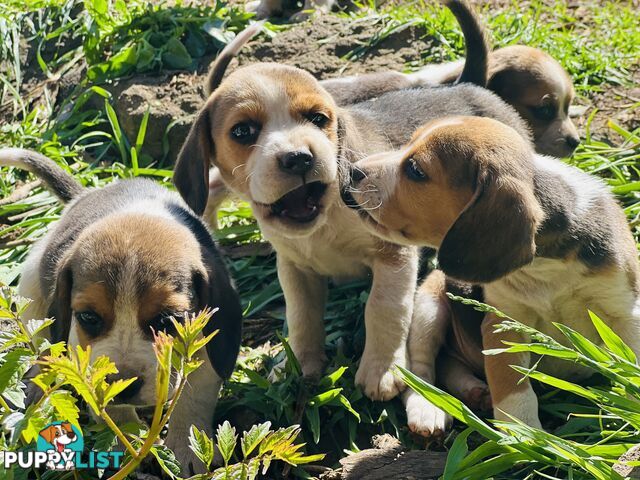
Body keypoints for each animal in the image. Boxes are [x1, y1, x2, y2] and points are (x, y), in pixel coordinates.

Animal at [1, 148, 242, 474]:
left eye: (167, 320)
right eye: (89, 317)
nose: (122, 383)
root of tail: (84, 195)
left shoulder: (202, 343)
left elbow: (193, 397)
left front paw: (187, 449)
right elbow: (114, 411)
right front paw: (122, 447)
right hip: (31, 285)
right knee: (41, 342)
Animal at [342, 116, 640, 432]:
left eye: (415, 170)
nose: (354, 170)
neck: (544, 267)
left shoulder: (625, 311)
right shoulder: (504, 322)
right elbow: (513, 389)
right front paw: (524, 435)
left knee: (448, 364)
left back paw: (473, 390)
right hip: (429, 305)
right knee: (422, 367)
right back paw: (429, 407)